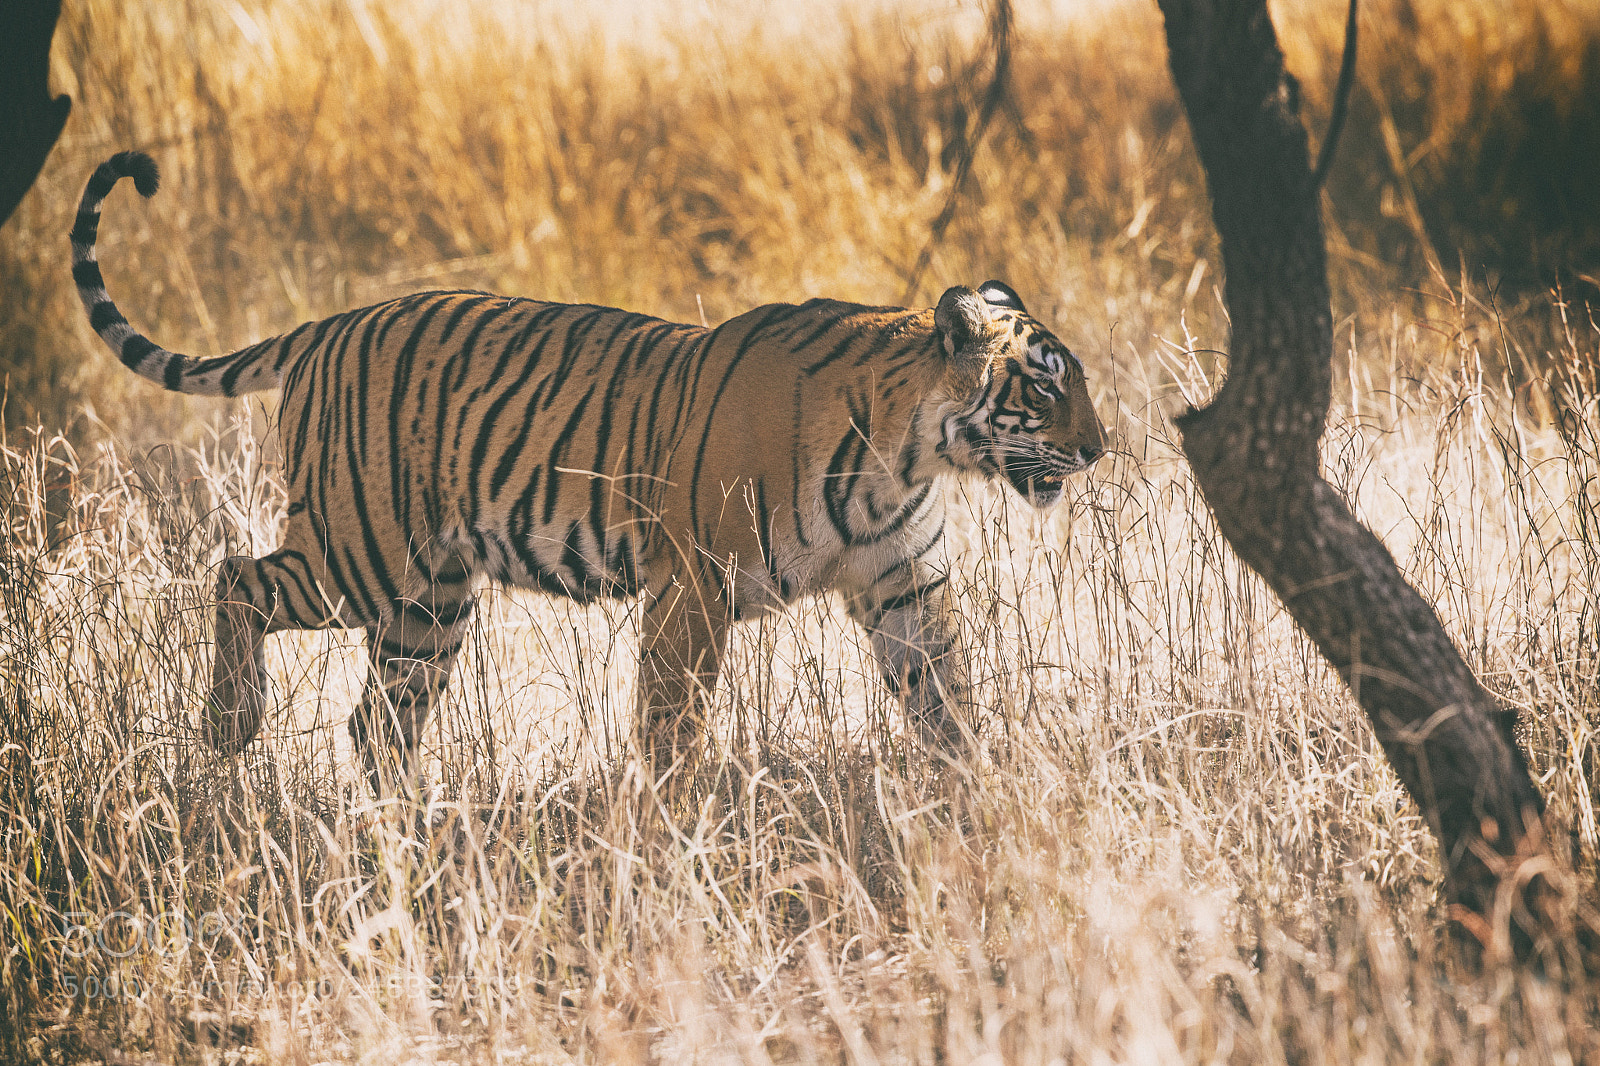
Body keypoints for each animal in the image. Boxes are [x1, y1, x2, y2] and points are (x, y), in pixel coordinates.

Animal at [72, 150, 1106, 794]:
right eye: (1045, 385)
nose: (1100, 448)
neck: (907, 453)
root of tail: (327, 323)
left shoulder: (903, 585)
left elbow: (947, 694)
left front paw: (976, 790)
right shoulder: (694, 586)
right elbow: (669, 720)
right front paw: (671, 822)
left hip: (428, 599)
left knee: (377, 725)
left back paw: (407, 828)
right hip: (356, 553)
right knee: (234, 577)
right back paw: (230, 724)